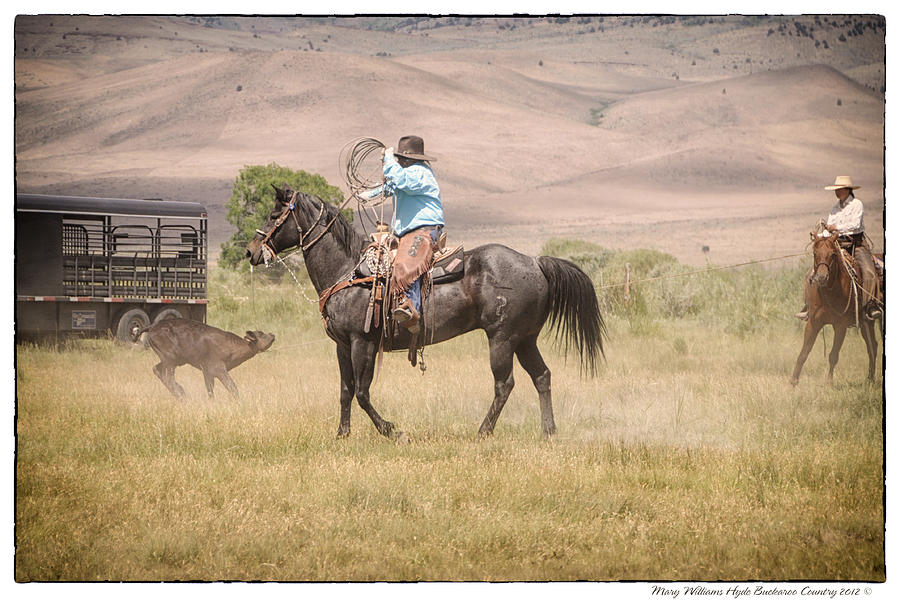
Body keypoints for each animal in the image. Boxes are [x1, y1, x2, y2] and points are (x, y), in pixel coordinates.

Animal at [246, 186, 604, 442]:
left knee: (505, 384)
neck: (347, 270)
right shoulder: (342, 345)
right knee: (541, 376)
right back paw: (549, 432)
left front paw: (393, 431)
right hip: (525, 339)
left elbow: (362, 392)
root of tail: (534, 261)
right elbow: (346, 392)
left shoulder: (363, 341)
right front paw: (342, 435)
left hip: (503, 339)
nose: (250, 251)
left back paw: (483, 432)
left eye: (275, 213)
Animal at [788, 234, 880, 384]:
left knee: (872, 346)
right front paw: (792, 382)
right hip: (864, 323)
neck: (830, 292)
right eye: (815, 253)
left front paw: (829, 383)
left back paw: (871, 379)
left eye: (833, 254)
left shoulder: (840, 325)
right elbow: (804, 353)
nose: (821, 277)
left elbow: (833, 355)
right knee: (873, 345)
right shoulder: (813, 323)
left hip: (869, 320)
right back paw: (870, 379)